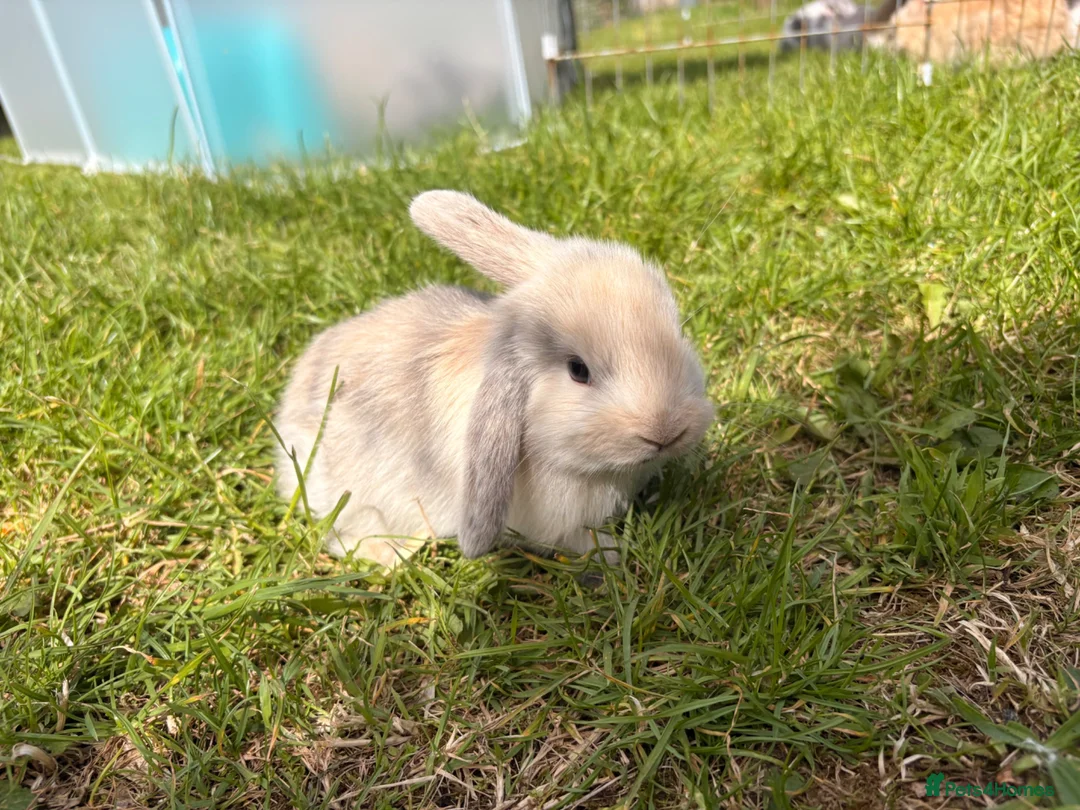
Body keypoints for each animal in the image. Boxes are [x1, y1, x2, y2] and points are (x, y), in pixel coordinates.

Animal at [274, 191, 715, 569]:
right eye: (578, 370)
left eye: (678, 332)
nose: (666, 431)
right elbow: (582, 541)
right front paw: (613, 557)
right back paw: (393, 555)